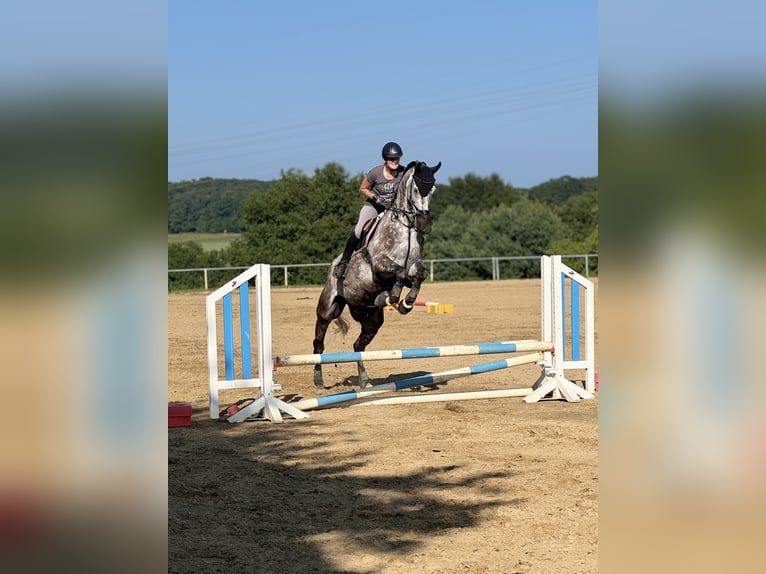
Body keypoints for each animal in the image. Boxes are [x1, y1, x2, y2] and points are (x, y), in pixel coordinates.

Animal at [312, 160, 442, 389]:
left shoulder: (414, 265)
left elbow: (418, 275)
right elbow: (398, 272)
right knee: (319, 343)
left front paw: (405, 303)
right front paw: (395, 296)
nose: (423, 224)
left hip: (371, 319)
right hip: (328, 309)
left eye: (433, 190)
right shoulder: (379, 264)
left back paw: (365, 381)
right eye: (416, 190)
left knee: (358, 346)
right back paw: (319, 381)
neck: (405, 226)